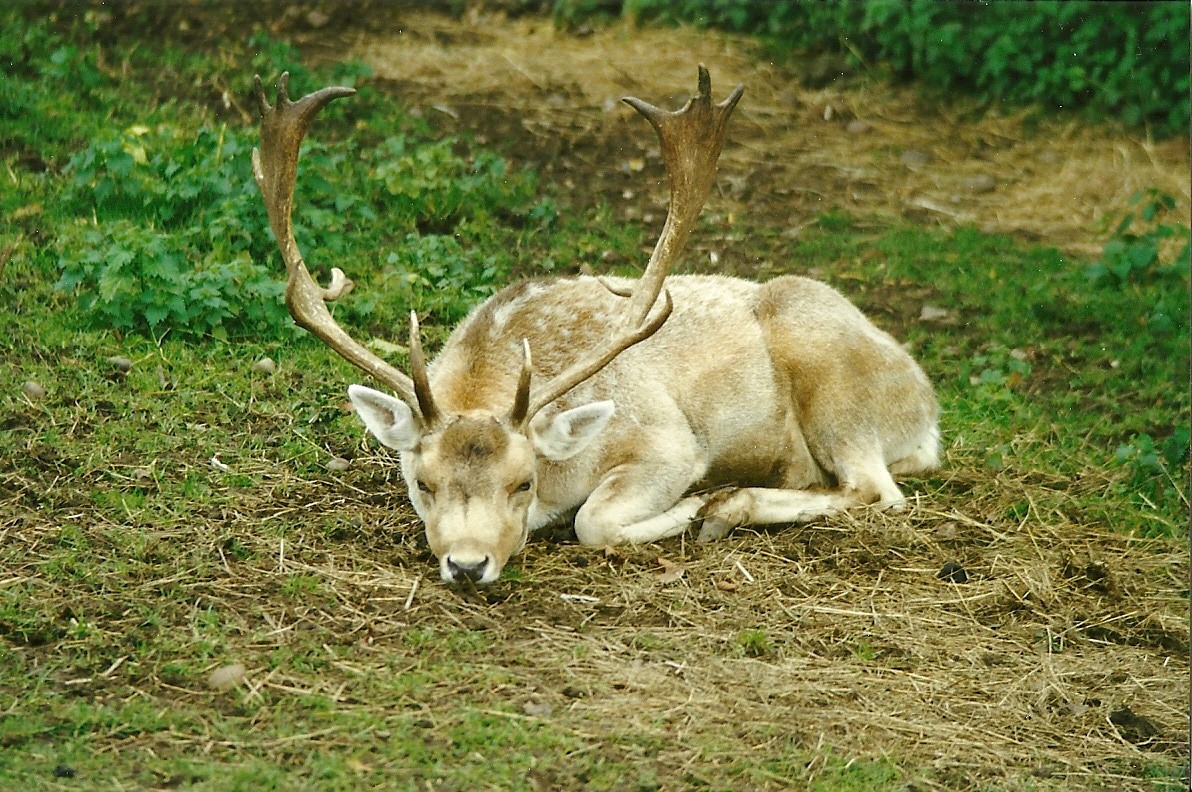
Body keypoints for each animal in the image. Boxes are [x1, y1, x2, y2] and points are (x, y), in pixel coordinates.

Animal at [252, 67, 940, 586]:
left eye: (523, 482)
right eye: (423, 483)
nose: (468, 565)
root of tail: (928, 406)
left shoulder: (670, 441)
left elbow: (593, 522)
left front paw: (695, 507)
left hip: (831, 376)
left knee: (877, 489)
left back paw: (731, 503)